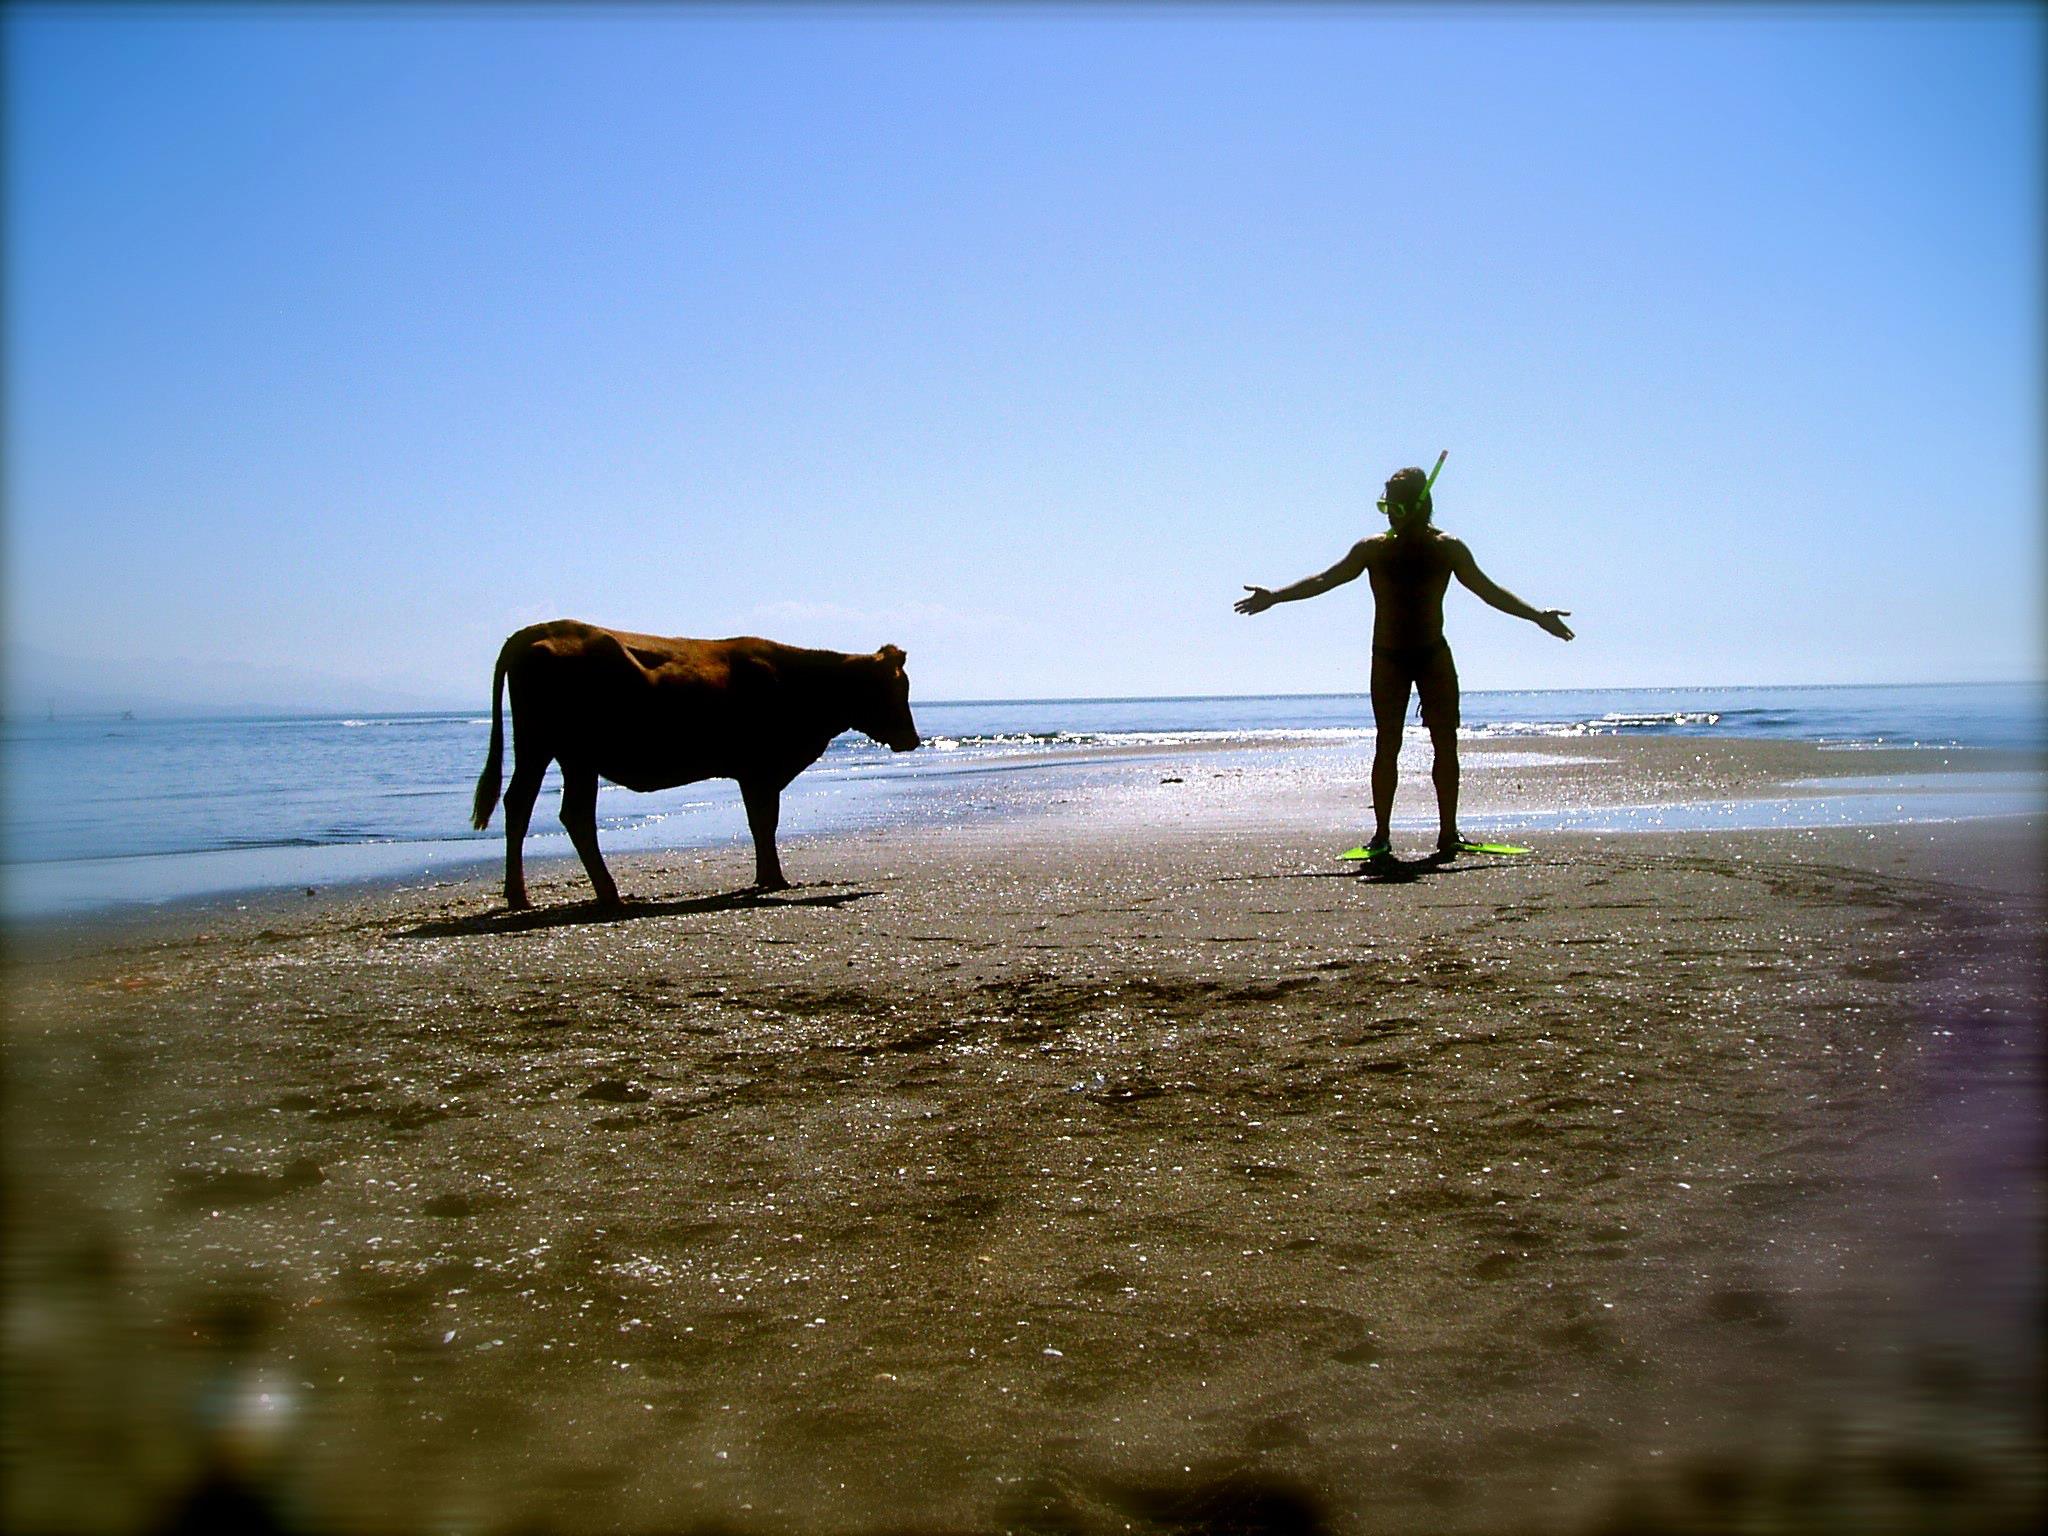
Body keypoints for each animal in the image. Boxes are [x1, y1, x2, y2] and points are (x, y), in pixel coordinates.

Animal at [471, 621, 919, 910]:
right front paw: (772, 878)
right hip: (561, 751)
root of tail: (534, 631)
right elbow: (764, 822)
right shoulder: (759, 769)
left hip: (557, 753)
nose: (913, 740)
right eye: (894, 688)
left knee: (540, 808)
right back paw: (584, 894)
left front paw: (766, 877)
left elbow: (762, 822)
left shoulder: (756, 773)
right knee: (555, 811)